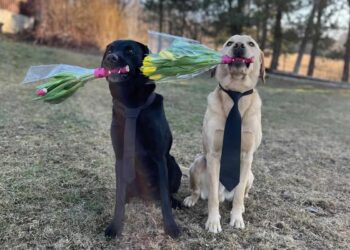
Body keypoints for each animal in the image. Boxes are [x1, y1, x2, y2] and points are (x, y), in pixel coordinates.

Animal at [101, 40, 182, 238]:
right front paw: (115, 226)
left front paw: (171, 227)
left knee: (167, 194)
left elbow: (165, 200)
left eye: (130, 50)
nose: (110, 58)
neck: (132, 104)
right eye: (110, 49)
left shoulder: (160, 157)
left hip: (173, 163)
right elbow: (119, 197)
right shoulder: (120, 157)